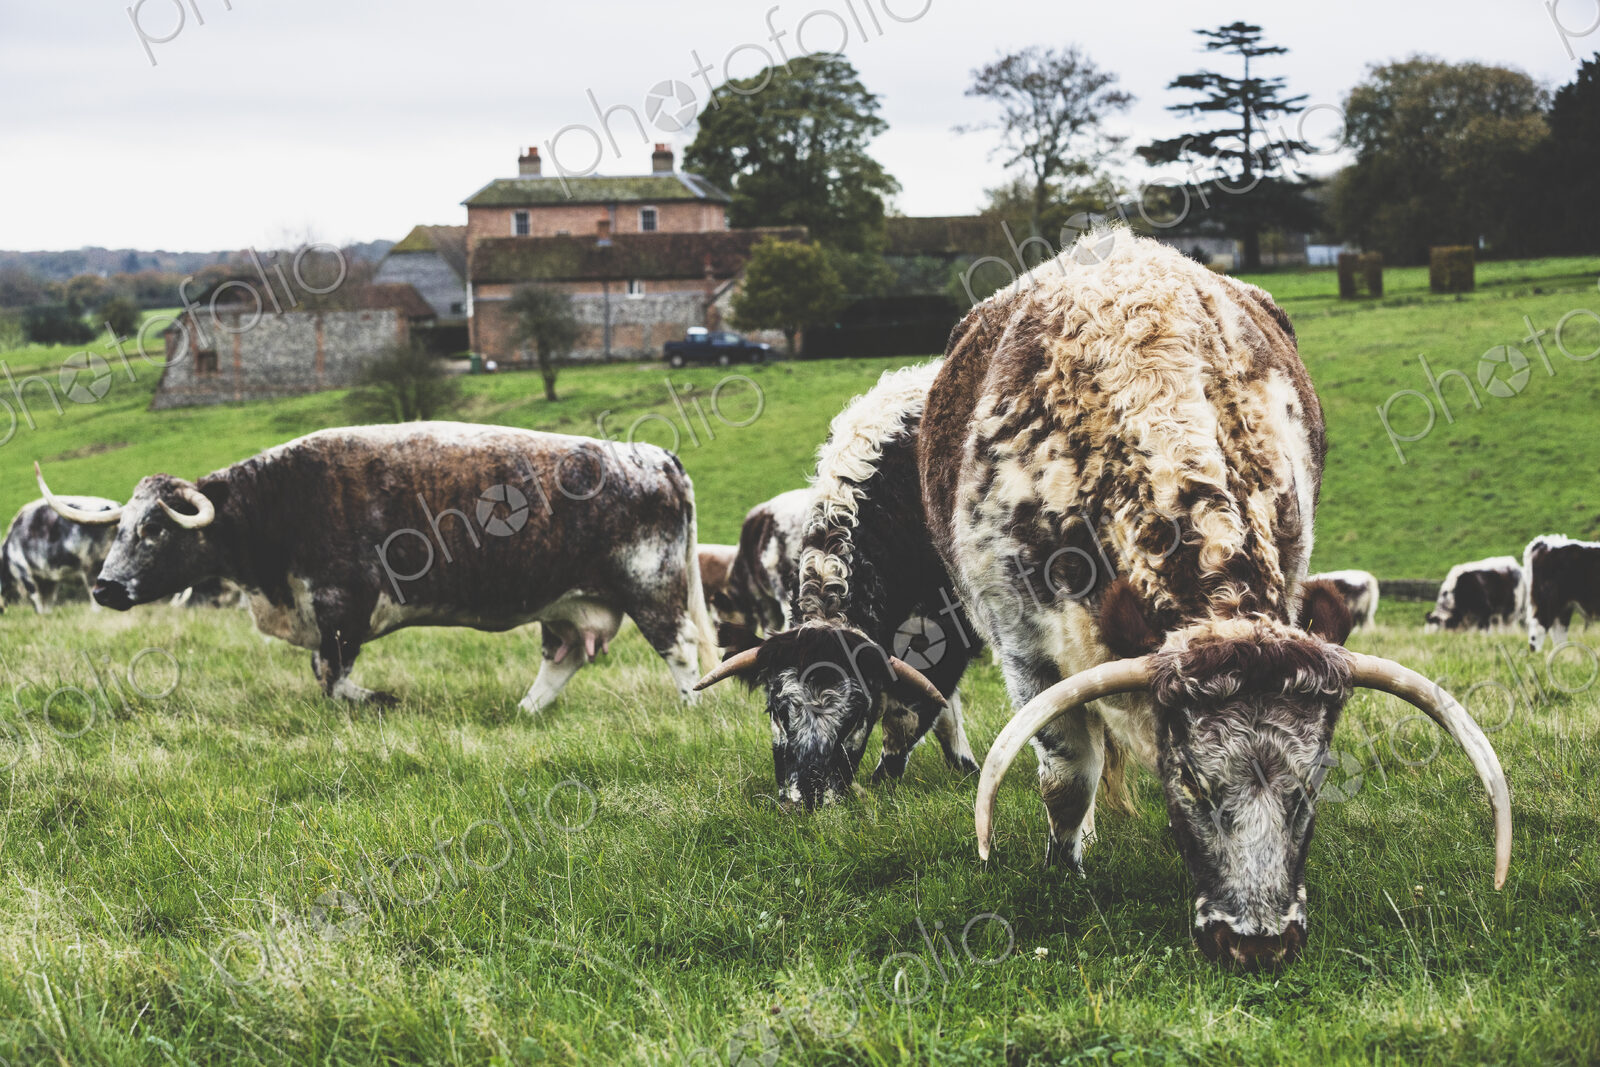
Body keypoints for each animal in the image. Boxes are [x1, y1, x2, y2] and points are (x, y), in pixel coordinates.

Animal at [35, 422, 716, 710]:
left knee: (681, 651)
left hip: (652, 589)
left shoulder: (343, 606)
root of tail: (653, 456)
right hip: (568, 604)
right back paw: (525, 712)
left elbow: (333, 679)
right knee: (564, 657)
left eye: (153, 528)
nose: (105, 587)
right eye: (119, 528)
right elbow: (324, 677)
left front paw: (382, 697)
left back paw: (691, 710)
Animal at [915, 231, 1507, 969]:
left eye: (1312, 783)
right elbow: (1066, 776)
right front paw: (1064, 870)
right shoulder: (1024, 648)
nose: (1257, 942)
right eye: (1192, 780)